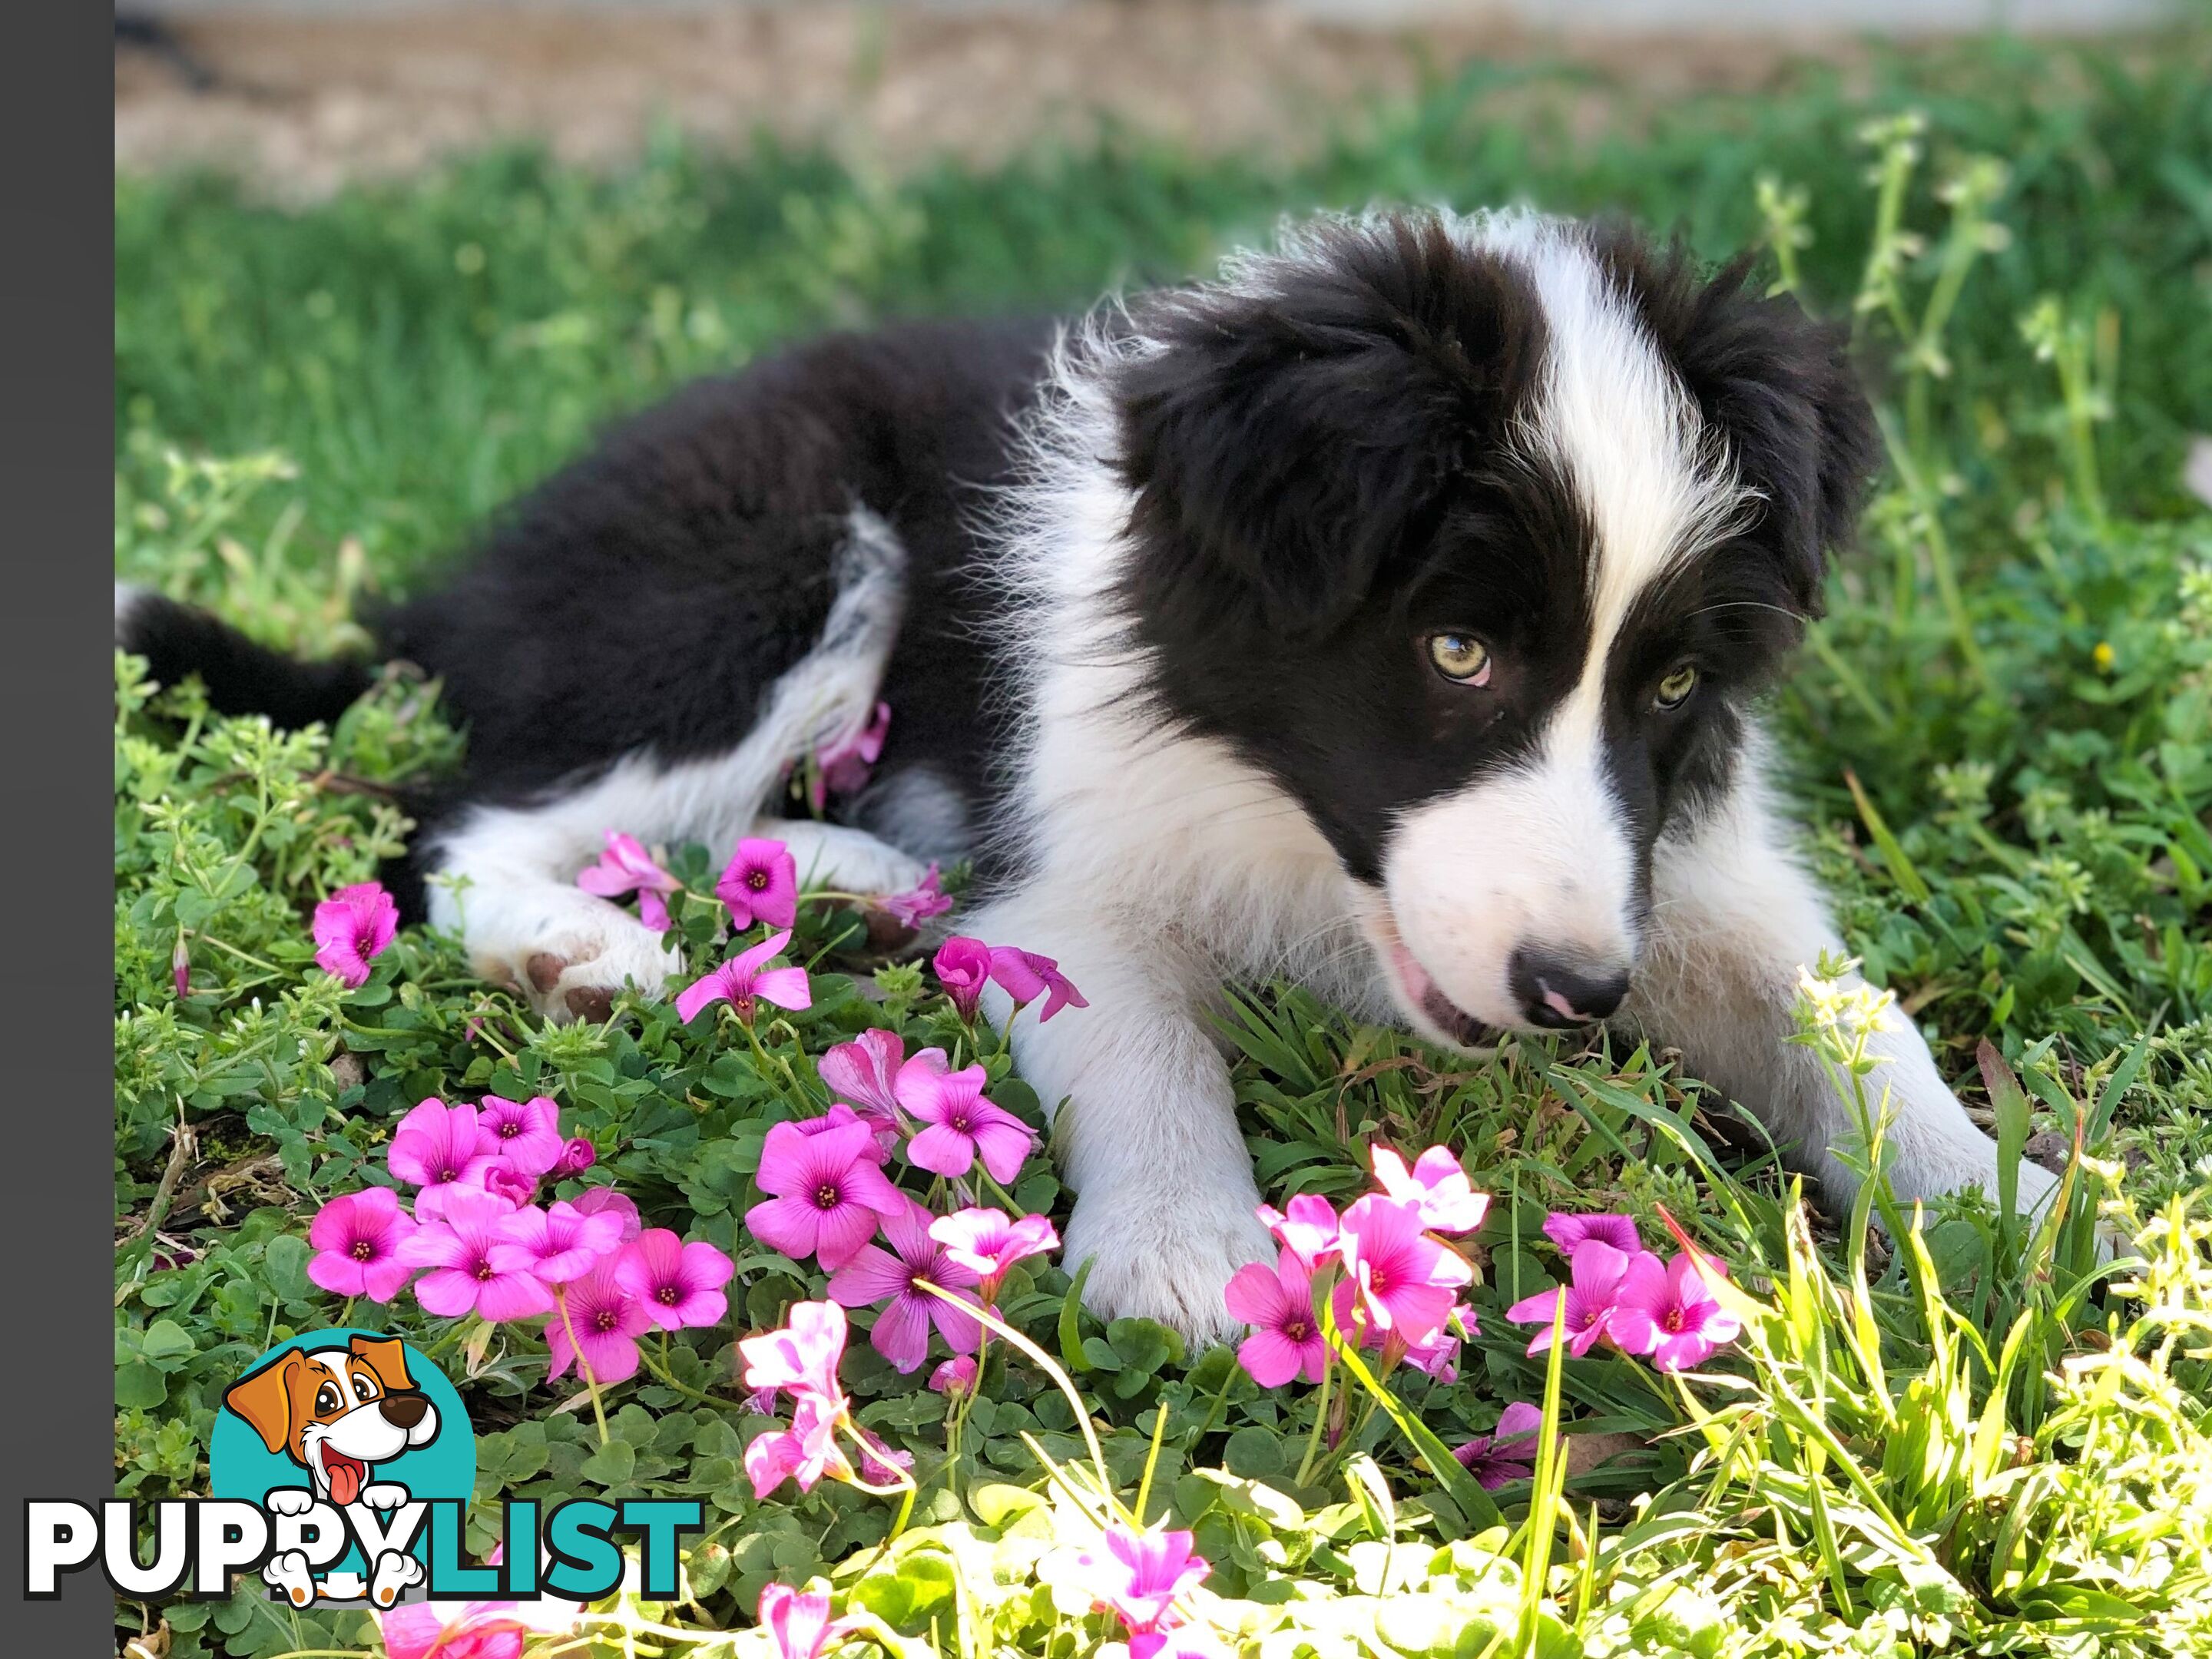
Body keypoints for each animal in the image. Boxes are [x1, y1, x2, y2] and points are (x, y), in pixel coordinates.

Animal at [121, 211, 2052, 1353]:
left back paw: (840, 886)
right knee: (461, 814)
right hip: (768, 551)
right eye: (1456, 652)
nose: (1578, 992)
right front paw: (1195, 1252)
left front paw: (2008, 1207)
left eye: (1669, 682)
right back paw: (581, 947)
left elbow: (1844, 1011)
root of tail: (451, 588)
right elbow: (1141, 1033)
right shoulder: (1073, 845)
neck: (1289, 814)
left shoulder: (1688, 859)